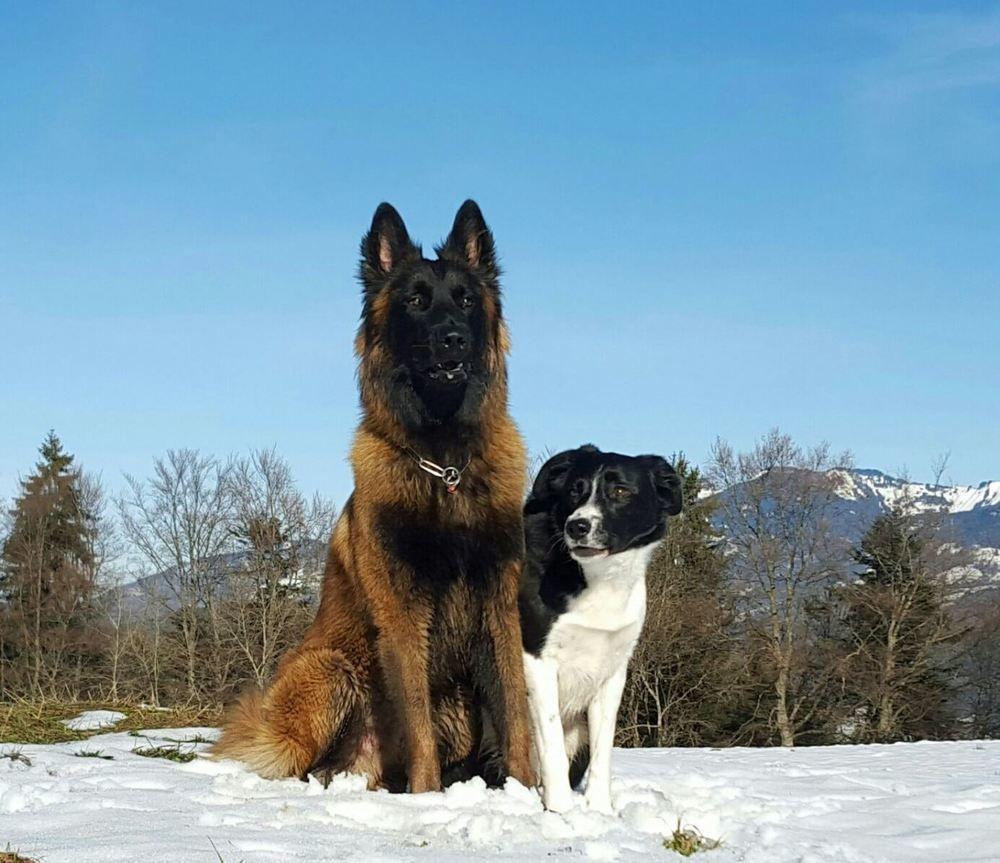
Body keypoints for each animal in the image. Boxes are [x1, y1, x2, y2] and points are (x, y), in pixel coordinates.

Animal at [212, 199, 536, 792]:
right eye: (416, 301)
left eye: (466, 300)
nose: (454, 338)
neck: (444, 467)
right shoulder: (403, 615)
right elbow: (418, 726)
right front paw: (429, 795)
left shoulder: (500, 607)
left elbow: (515, 713)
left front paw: (529, 795)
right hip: (331, 671)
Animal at [520, 442, 684, 812]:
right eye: (574, 490)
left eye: (620, 491)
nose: (577, 526)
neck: (596, 578)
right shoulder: (536, 660)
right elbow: (551, 741)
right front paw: (561, 811)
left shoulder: (612, 672)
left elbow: (602, 750)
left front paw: (600, 811)